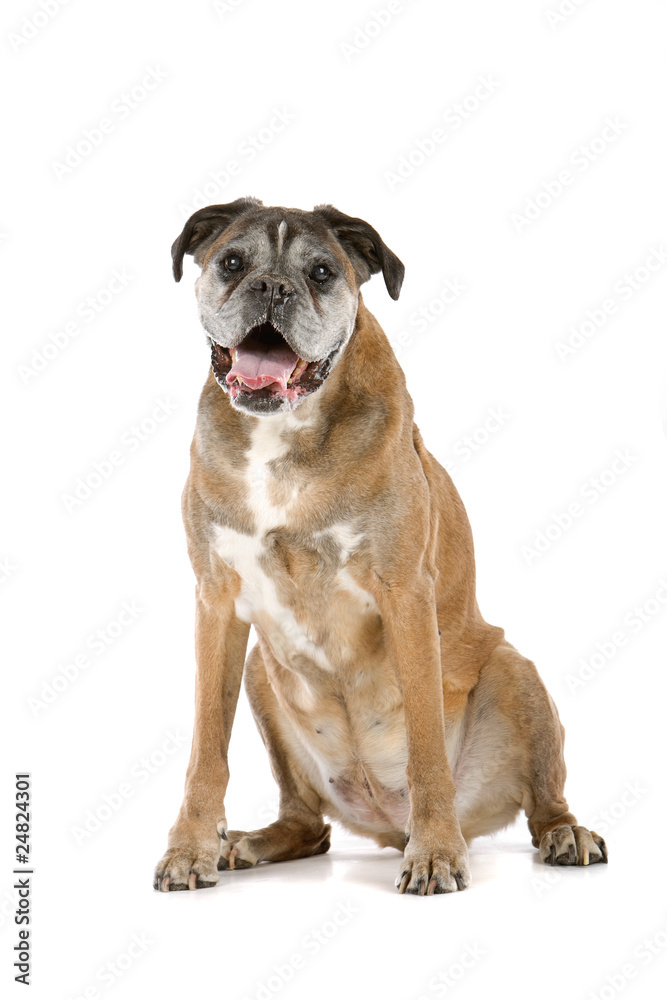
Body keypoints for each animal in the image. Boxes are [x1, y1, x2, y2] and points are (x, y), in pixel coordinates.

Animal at [154, 197, 608, 900]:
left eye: (320, 272)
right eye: (232, 262)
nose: (273, 288)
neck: (286, 431)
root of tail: (386, 821)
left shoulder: (405, 597)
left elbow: (425, 745)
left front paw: (437, 852)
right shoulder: (217, 604)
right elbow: (207, 748)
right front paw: (190, 848)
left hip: (514, 670)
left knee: (542, 804)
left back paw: (563, 834)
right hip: (259, 670)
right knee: (308, 825)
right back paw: (250, 843)